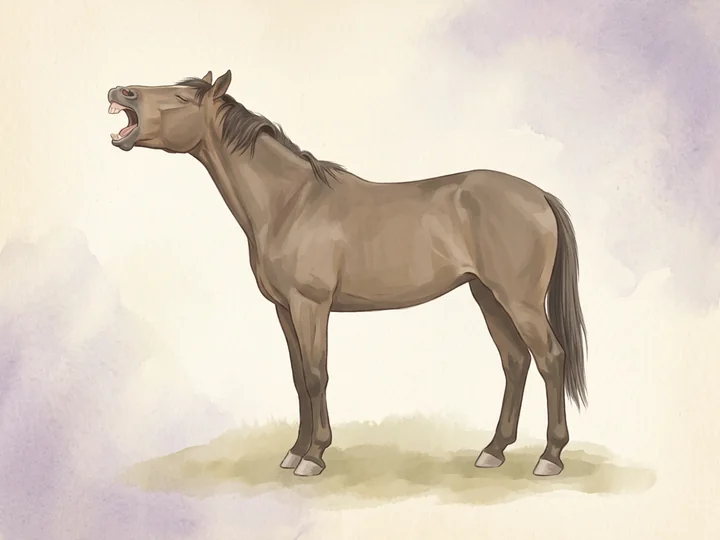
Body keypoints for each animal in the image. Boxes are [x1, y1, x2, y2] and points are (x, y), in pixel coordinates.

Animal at [107, 69, 587, 478]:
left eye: (181, 97)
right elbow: (298, 377)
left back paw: (550, 457)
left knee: (550, 358)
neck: (290, 203)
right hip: (487, 296)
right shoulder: (285, 310)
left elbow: (317, 375)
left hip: (519, 300)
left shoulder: (311, 305)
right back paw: (493, 451)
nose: (121, 92)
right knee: (515, 362)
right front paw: (294, 451)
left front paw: (314, 456)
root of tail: (539, 195)